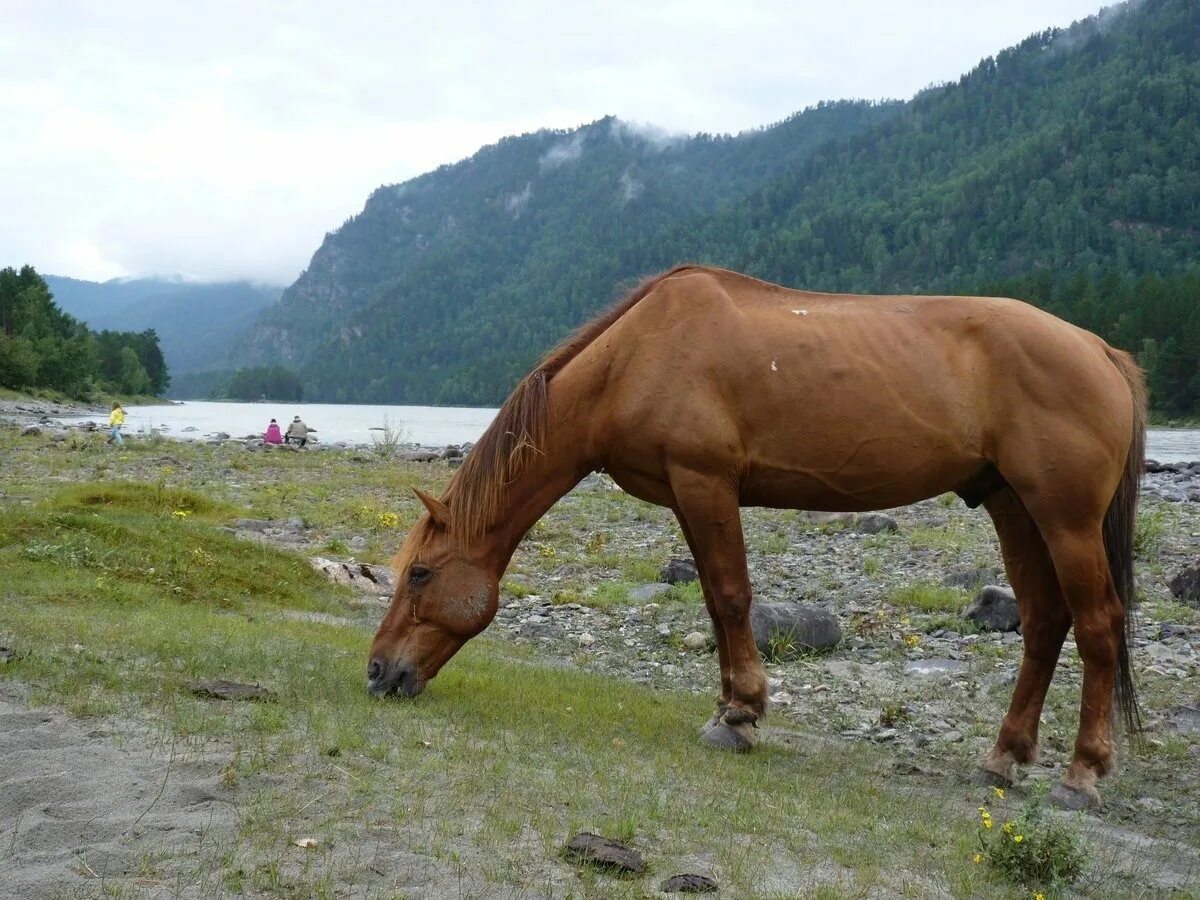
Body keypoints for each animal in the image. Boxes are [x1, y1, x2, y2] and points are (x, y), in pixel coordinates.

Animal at [369, 264, 1147, 816]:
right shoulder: (689, 493)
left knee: (1098, 625)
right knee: (1044, 623)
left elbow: (730, 596)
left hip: (1065, 519)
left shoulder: (705, 482)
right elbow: (718, 606)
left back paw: (1081, 775)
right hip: (1013, 507)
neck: (634, 358)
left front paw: (740, 715)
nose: (378, 673)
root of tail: (1099, 349)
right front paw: (730, 708)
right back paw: (1003, 757)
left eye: (420, 575)